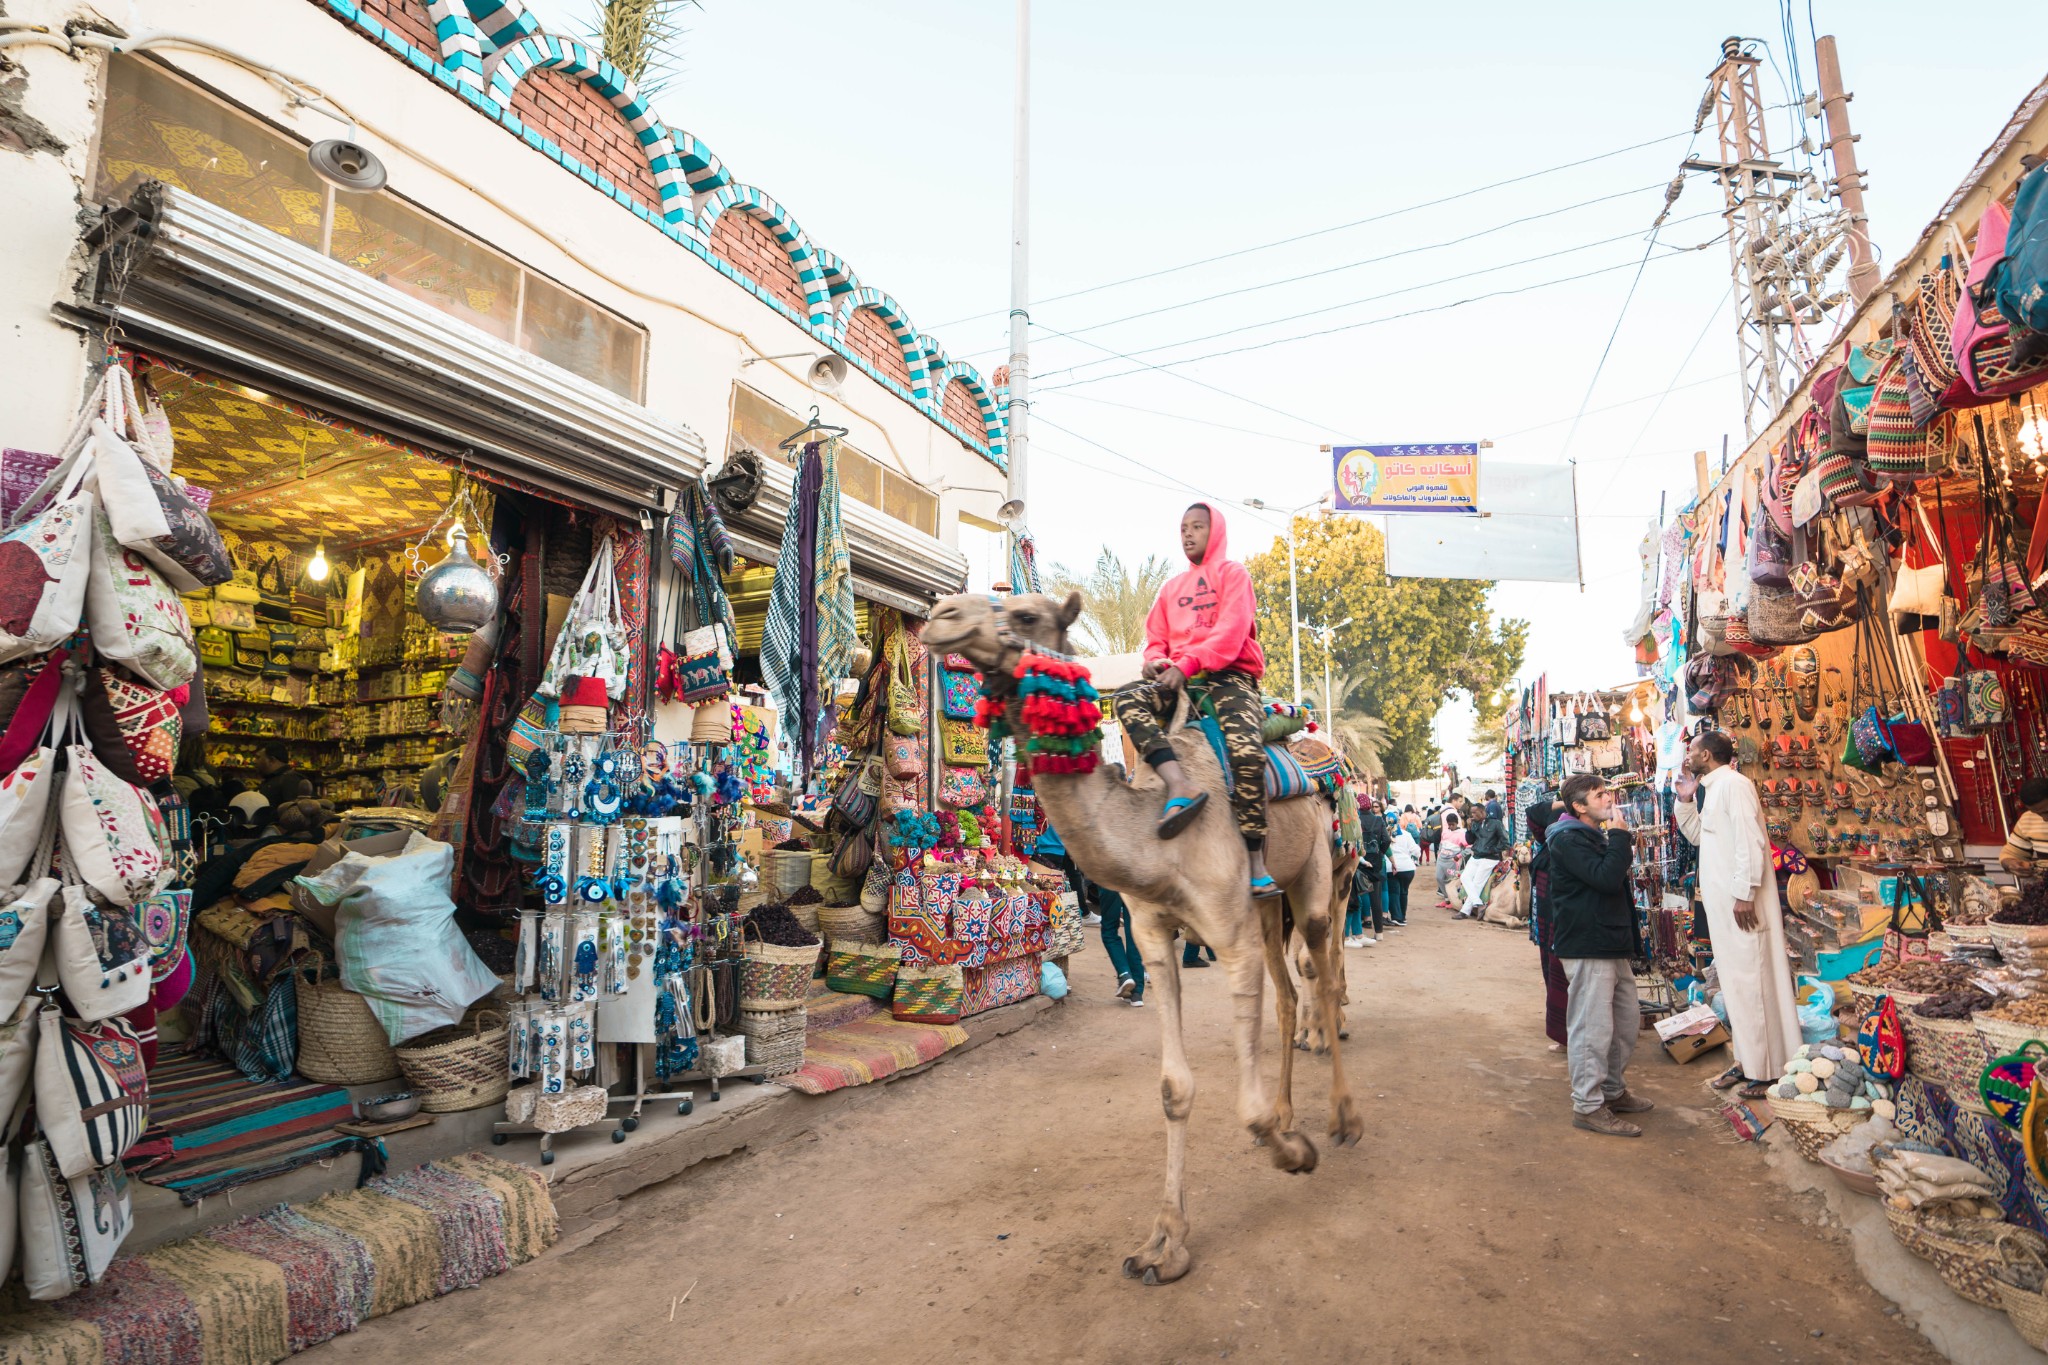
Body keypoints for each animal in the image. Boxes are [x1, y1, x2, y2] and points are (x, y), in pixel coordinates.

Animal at [929, 593, 1359, 1285]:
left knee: (1321, 961)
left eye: (1027, 615)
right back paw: (1292, 1109)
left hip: (1319, 870)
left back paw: (1342, 1113)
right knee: (1290, 990)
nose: (942, 616)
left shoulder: (1229, 933)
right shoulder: (1156, 935)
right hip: (1268, 906)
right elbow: (1174, 1089)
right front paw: (1164, 1244)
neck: (1158, 837)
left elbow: (1240, 1104)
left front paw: (1292, 1153)